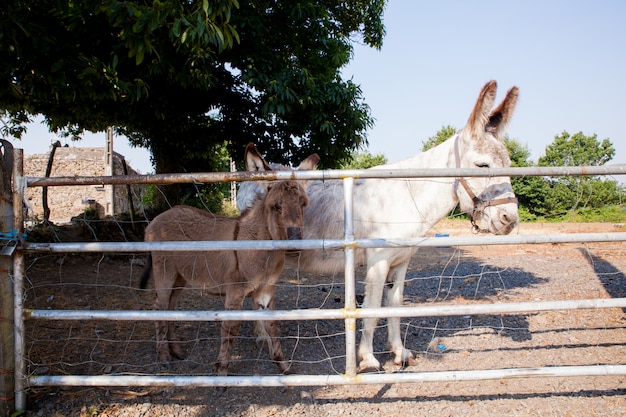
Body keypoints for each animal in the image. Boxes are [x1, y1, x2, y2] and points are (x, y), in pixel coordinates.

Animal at [140, 142, 316, 374]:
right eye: (276, 207)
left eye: (304, 205)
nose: (295, 245)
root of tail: (155, 220)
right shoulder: (235, 290)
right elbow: (231, 326)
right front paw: (222, 369)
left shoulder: (266, 289)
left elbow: (272, 324)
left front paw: (282, 365)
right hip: (165, 272)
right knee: (159, 306)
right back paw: (164, 357)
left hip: (180, 277)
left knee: (170, 306)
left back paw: (176, 351)